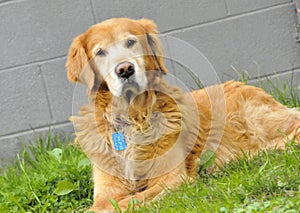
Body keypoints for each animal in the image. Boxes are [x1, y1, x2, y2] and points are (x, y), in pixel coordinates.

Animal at [66, 18, 300, 211]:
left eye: (131, 42)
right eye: (100, 52)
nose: (124, 69)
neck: (132, 118)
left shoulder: (172, 179)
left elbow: (128, 202)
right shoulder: (107, 188)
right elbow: (102, 205)